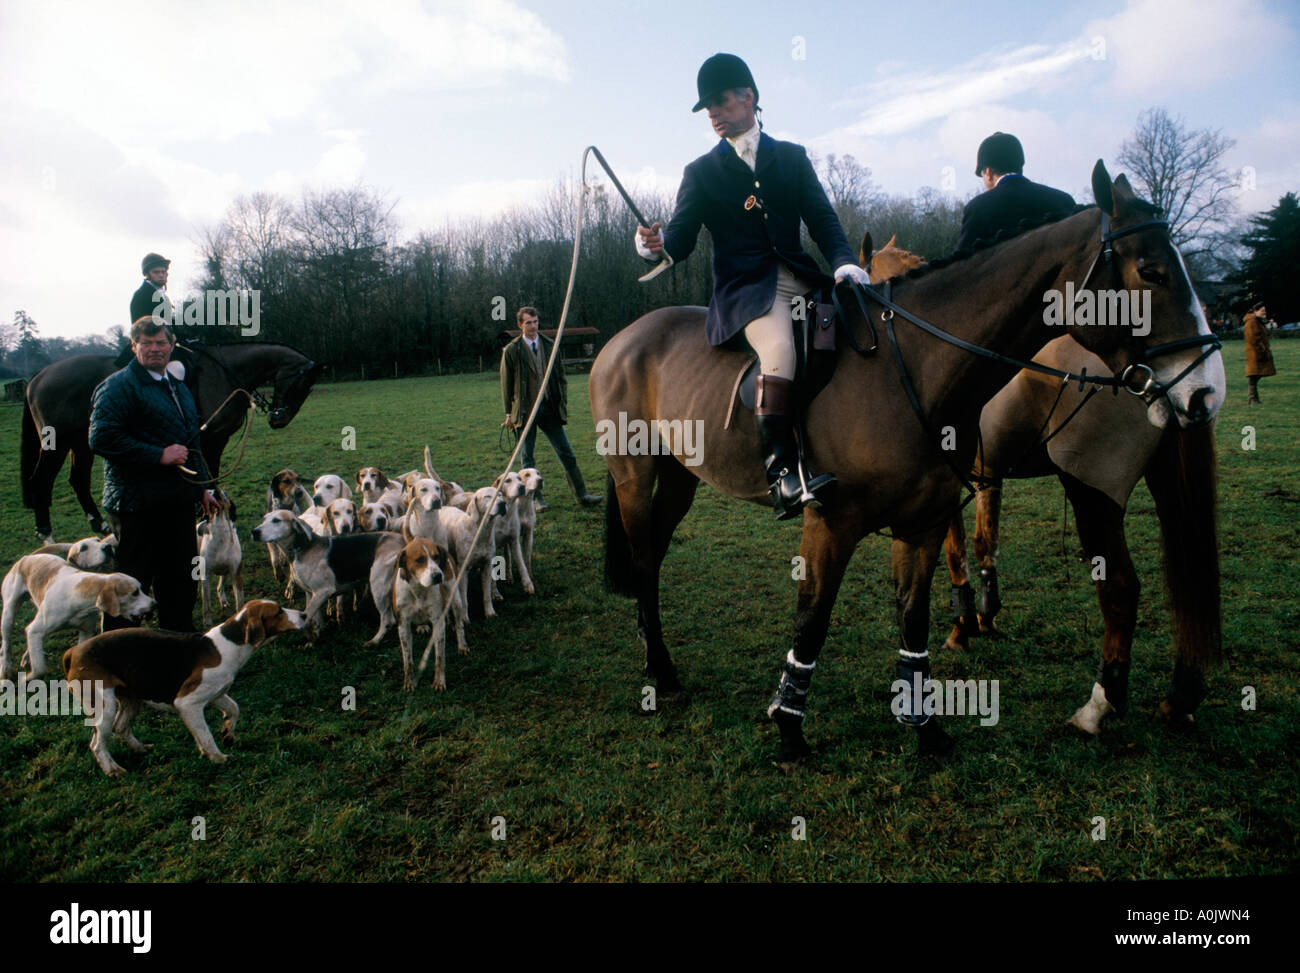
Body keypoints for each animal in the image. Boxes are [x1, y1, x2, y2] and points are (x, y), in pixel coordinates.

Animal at [857, 234, 1222, 738]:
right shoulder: (987, 476)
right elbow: (985, 543)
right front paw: (985, 615)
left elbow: (956, 553)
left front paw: (962, 625)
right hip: (1169, 485)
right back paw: (1181, 697)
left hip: (1092, 492)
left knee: (1121, 589)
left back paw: (1099, 705)